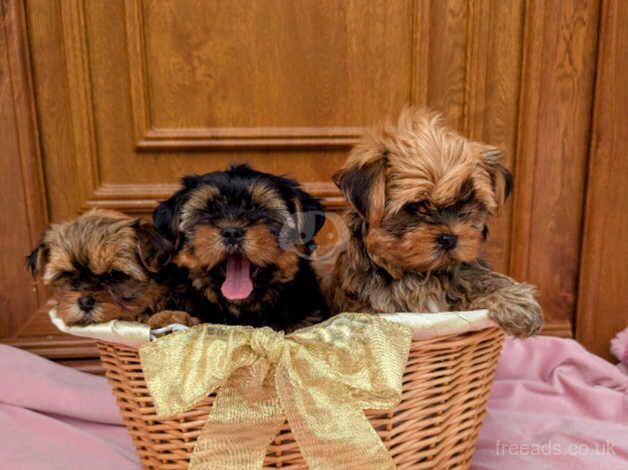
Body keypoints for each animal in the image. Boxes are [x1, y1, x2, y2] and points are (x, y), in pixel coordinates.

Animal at [326, 109, 544, 338]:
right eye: (414, 206)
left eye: (467, 202)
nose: (449, 238)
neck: (424, 273)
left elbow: (480, 279)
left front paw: (517, 304)